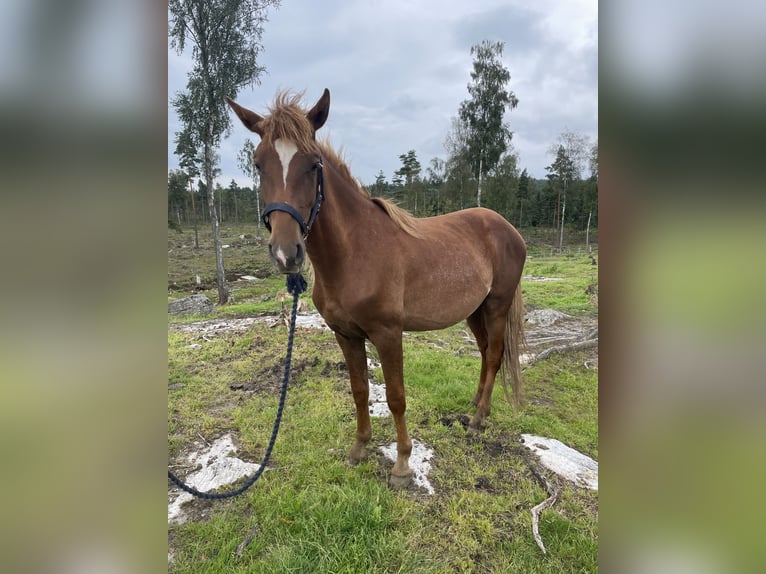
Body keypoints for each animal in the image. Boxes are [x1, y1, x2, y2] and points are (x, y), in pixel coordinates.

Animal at [226, 89, 527, 489]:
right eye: (259, 164)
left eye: (314, 164)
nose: (285, 253)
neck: (355, 252)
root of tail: (507, 228)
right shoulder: (345, 334)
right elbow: (360, 391)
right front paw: (359, 449)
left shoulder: (387, 333)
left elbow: (396, 397)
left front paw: (402, 465)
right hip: (475, 311)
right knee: (483, 353)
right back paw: (476, 406)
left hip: (496, 306)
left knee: (493, 356)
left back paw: (478, 421)